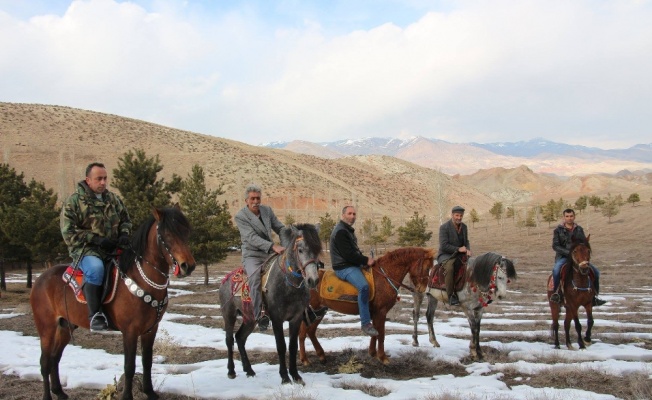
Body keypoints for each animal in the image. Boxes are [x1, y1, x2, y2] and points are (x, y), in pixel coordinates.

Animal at [31, 206, 194, 400]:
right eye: (167, 234)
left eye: (186, 232)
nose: (188, 266)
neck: (142, 279)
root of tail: (40, 280)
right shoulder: (130, 331)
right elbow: (129, 366)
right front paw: (127, 396)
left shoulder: (150, 329)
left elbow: (147, 361)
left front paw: (150, 392)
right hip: (47, 328)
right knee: (45, 362)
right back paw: (48, 395)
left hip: (65, 326)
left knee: (55, 358)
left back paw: (60, 392)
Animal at [219, 225, 320, 384]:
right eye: (300, 250)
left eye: (317, 249)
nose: (313, 280)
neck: (287, 282)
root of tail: (226, 279)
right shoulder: (276, 318)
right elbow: (281, 346)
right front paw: (285, 377)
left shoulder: (296, 318)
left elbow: (292, 346)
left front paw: (296, 376)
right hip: (229, 315)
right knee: (229, 340)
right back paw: (231, 371)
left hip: (250, 319)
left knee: (240, 338)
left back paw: (249, 370)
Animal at [300, 248, 432, 368]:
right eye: (427, 268)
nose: (422, 290)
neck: (384, 277)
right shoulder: (381, 312)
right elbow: (381, 334)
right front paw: (383, 357)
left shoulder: (375, 312)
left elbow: (375, 332)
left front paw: (372, 353)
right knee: (302, 333)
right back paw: (305, 360)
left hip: (319, 312)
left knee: (311, 332)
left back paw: (321, 356)